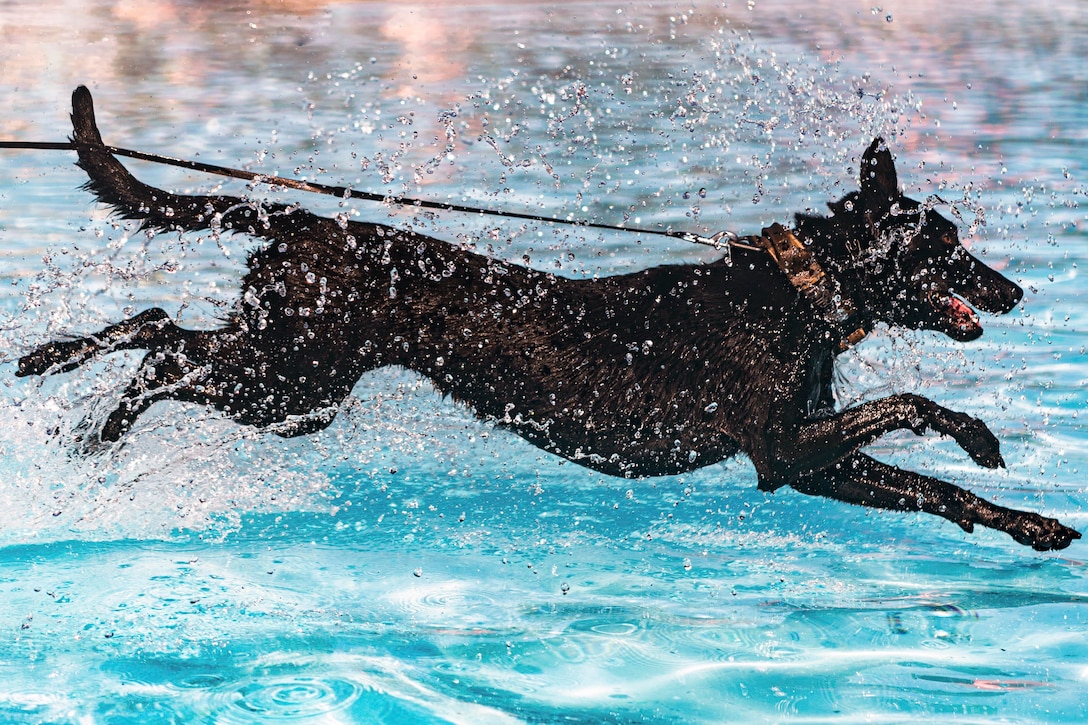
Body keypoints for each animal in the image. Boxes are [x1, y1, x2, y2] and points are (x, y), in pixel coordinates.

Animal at [17, 85, 1079, 548]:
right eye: (946, 244)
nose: (1014, 291)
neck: (796, 291)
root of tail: (306, 221)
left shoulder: (808, 462)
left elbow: (935, 488)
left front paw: (1027, 523)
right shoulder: (782, 445)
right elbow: (912, 405)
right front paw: (979, 433)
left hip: (289, 379)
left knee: (157, 325)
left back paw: (61, 389)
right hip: (287, 379)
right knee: (162, 349)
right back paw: (87, 416)